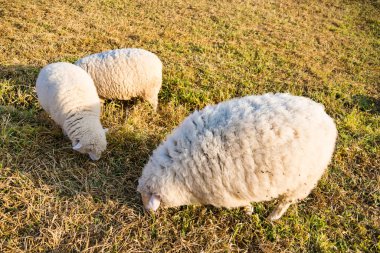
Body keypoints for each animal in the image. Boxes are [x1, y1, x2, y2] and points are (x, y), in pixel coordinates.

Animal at [137, 93, 338, 219]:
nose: (147, 215)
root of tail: (325, 116)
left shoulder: (224, 195)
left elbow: (240, 203)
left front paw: (248, 210)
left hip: (304, 180)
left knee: (285, 202)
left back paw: (272, 217)